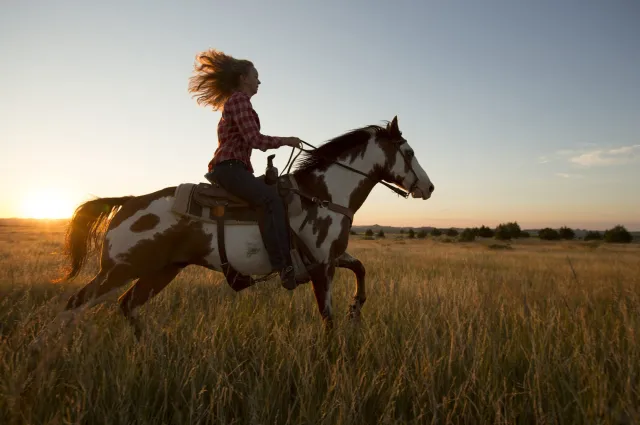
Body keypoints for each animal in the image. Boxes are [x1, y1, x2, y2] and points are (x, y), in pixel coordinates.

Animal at [44, 116, 435, 338]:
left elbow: (362, 269)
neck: (322, 194)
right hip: (121, 269)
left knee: (126, 305)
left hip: (162, 271)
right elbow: (327, 319)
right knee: (73, 305)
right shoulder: (321, 268)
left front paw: (356, 309)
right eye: (409, 152)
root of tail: (128, 202)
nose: (428, 187)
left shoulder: (331, 257)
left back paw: (150, 345)